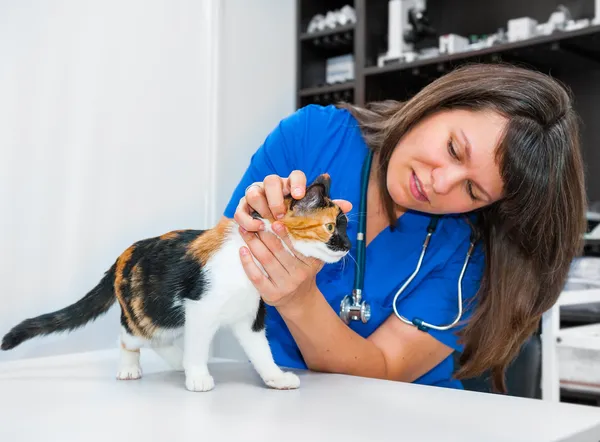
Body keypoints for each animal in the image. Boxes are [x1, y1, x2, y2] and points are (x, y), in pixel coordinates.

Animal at [0, 174, 352, 392]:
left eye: (346, 228)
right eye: (331, 227)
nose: (348, 246)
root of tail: (123, 256)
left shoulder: (249, 318)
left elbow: (261, 352)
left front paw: (276, 378)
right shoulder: (200, 308)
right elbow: (197, 347)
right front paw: (197, 377)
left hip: (167, 317)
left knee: (160, 340)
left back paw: (174, 362)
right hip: (148, 312)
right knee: (128, 337)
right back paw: (130, 367)